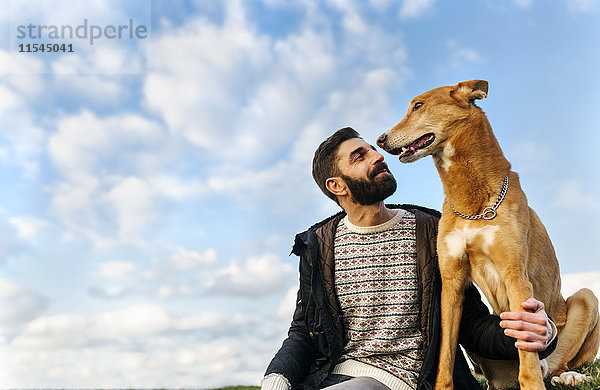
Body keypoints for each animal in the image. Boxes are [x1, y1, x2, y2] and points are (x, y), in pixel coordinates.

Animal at [378, 80, 596, 388]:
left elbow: (527, 353)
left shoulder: (516, 276)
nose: (380, 139)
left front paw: (533, 382)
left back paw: (568, 376)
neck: (473, 205)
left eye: (418, 106)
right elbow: (445, 353)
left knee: (555, 363)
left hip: (586, 300)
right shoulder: (452, 282)